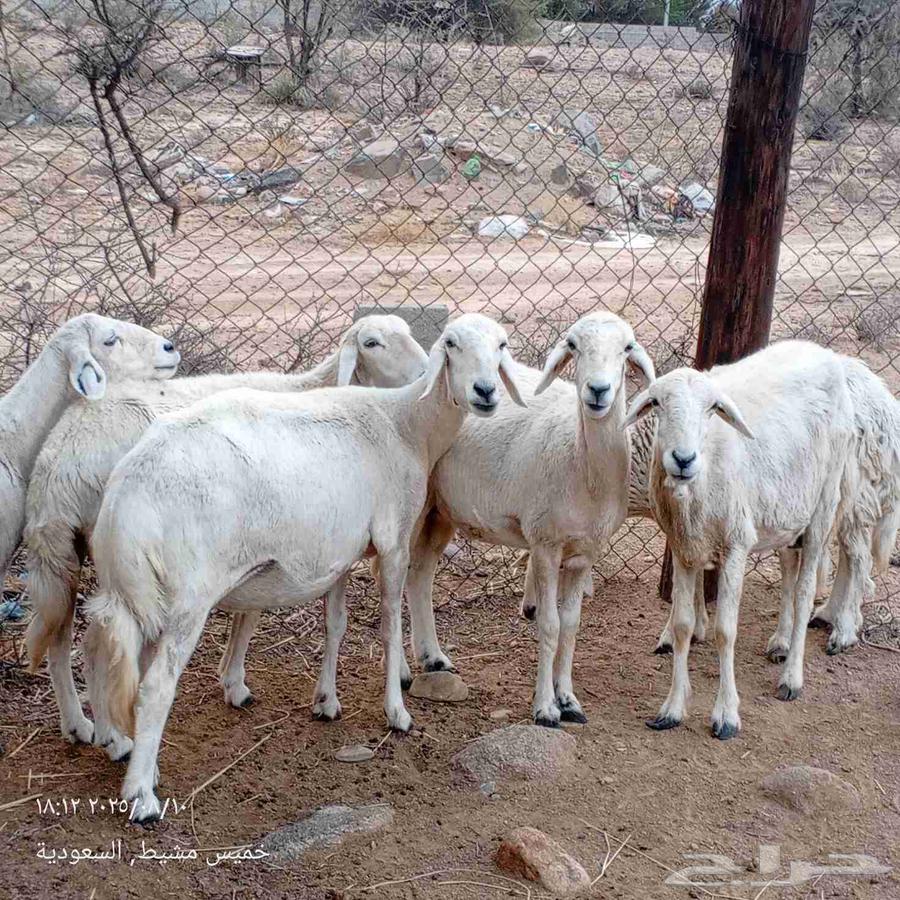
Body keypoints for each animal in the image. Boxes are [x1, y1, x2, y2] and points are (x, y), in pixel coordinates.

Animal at [23, 315, 427, 746]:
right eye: (372, 343)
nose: (424, 373)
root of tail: (57, 461)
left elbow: (248, 611)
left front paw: (231, 678)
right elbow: (250, 614)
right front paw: (234, 682)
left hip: (70, 551)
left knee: (64, 635)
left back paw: (77, 724)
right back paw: (110, 736)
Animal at [82, 312, 524, 822]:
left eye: (502, 345)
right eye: (451, 344)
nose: (485, 391)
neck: (407, 424)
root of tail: (126, 497)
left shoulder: (338, 553)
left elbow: (336, 625)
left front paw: (326, 701)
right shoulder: (392, 542)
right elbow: (390, 627)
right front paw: (397, 712)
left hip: (137, 593)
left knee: (115, 663)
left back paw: (134, 757)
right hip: (185, 598)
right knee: (155, 687)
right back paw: (142, 796)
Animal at [399, 311, 655, 727]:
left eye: (627, 347)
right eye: (573, 345)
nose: (598, 391)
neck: (583, 464)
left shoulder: (585, 553)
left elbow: (571, 625)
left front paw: (568, 700)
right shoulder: (546, 544)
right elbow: (549, 624)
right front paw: (546, 707)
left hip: (442, 508)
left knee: (419, 576)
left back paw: (434, 659)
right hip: (414, 505)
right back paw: (404, 672)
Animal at [624, 340, 872, 739]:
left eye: (712, 408)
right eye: (657, 403)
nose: (683, 459)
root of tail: (823, 352)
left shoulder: (735, 546)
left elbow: (726, 631)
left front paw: (726, 714)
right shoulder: (684, 547)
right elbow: (682, 625)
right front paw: (672, 708)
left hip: (823, 505)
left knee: (805, 591)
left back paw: (793, 676)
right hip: (787, 513)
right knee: (788, 573)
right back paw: (781, 642)